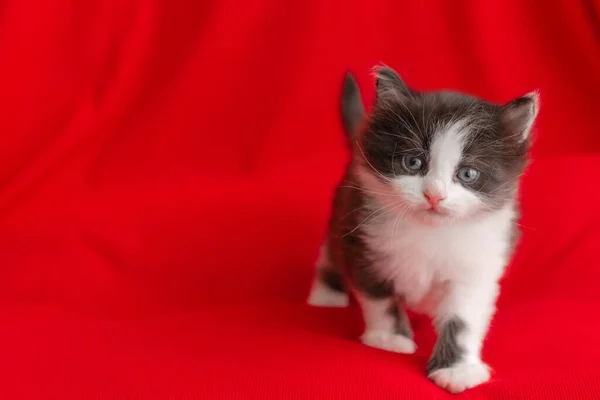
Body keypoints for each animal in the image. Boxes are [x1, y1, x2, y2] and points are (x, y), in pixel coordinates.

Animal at [308, 65, 536, 394]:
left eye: (468, 174)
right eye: (413, 162)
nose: (434, 196)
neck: (430, 232)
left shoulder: (478, 265)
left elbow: (463, 318)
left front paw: (457, 369)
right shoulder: (364, 239)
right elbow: (380, 297)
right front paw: (389, 338)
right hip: (344, 209)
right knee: (331, 249)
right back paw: (326, 295)